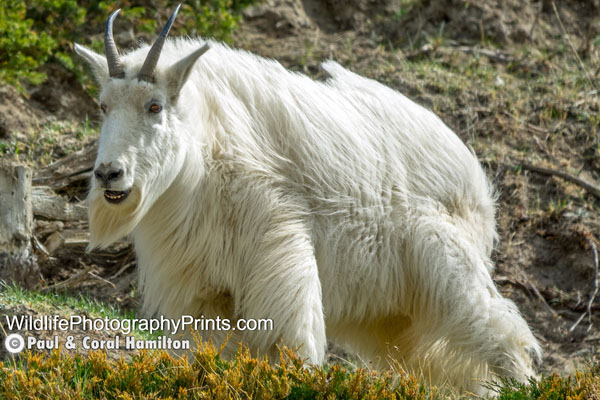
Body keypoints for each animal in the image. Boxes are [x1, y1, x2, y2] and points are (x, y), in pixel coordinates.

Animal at [75, 5, 540, 394]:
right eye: (103, 106)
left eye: (154, 105)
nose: (109, 174)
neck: (204, 153)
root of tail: (477, 182)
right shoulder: (202, 288)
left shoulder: (277, 247)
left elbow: (293, 341)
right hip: (396, 315)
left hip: (447, 262)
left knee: (502, 334)